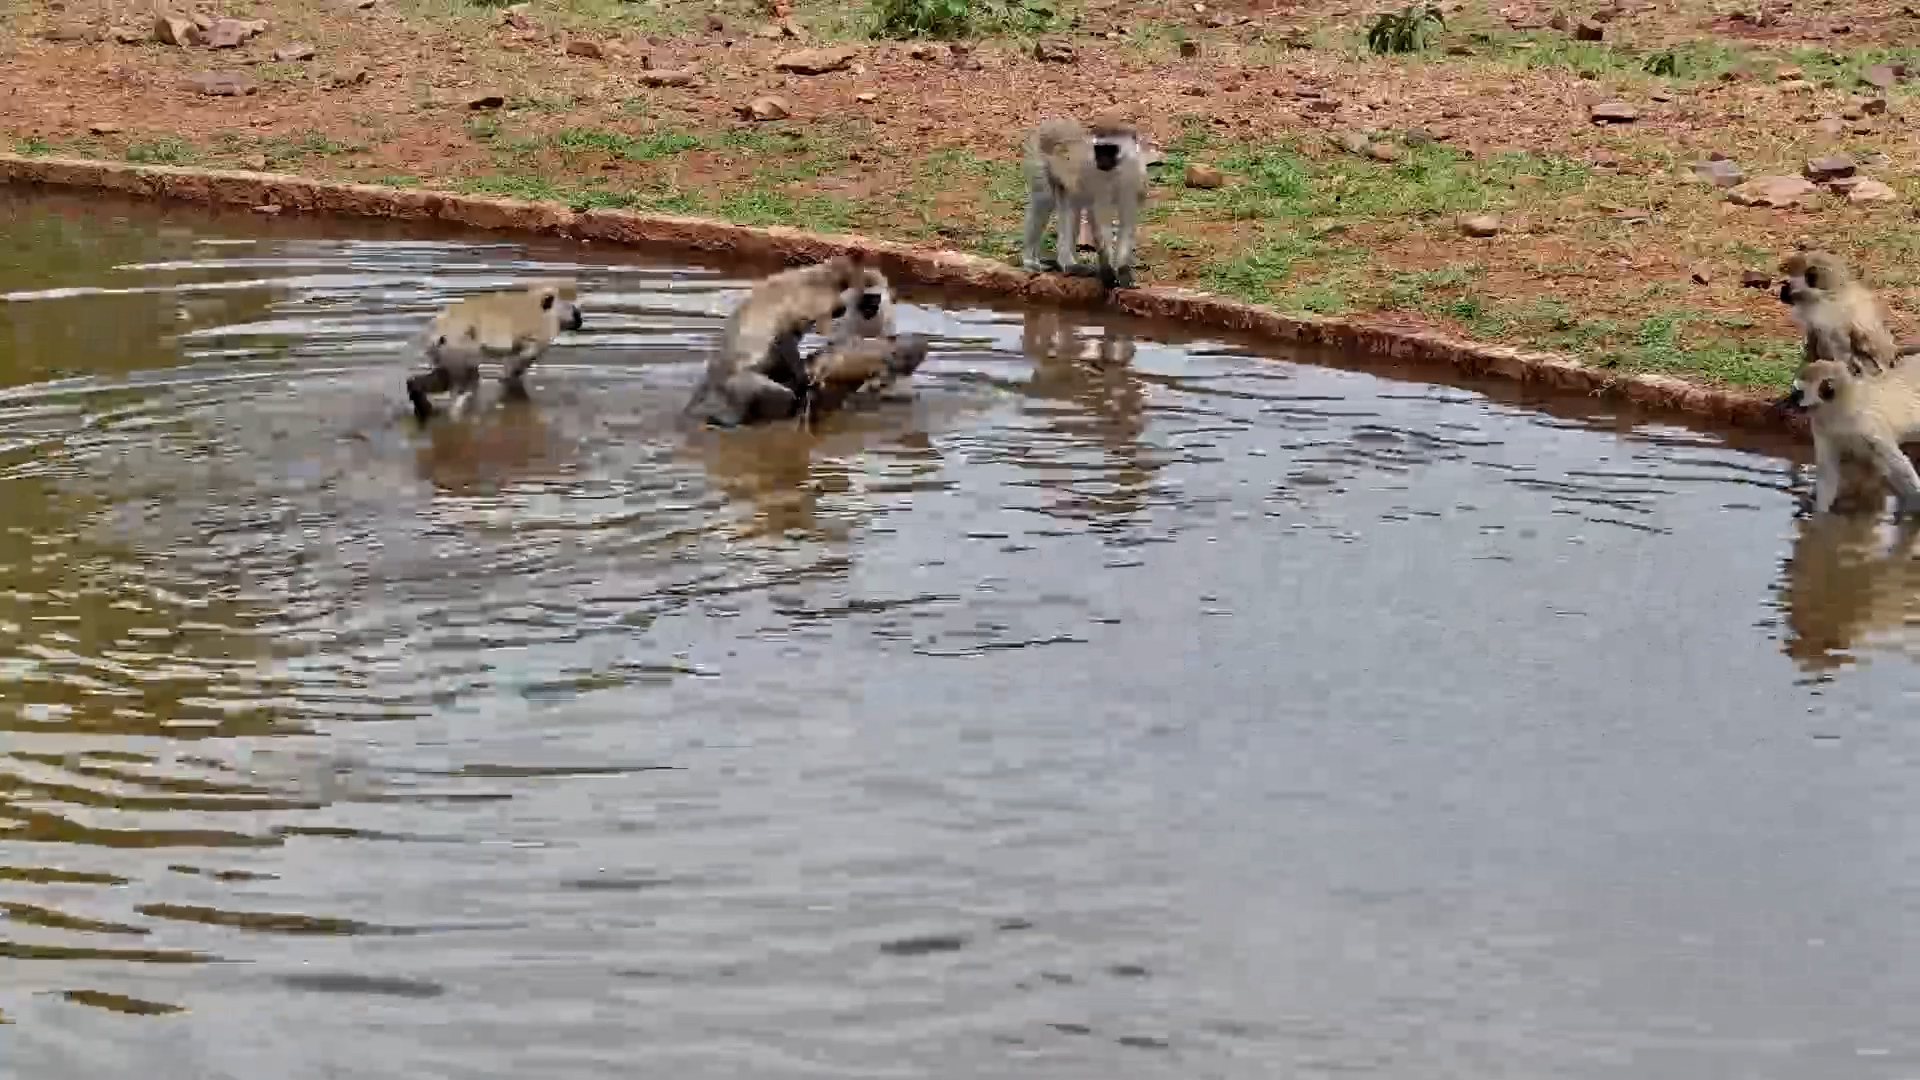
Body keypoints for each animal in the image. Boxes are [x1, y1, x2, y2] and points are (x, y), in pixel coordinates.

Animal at [406, 278, 583, 422]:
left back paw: (419, 395)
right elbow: (520, 361)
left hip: (443, 349)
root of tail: (435, 331)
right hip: (458, 345)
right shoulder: (544, 330)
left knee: (446, 377)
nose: (579, 319)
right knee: (465, 377)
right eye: (575, 312)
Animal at [684, 254, 873, 428]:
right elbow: (785, 340)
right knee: (776, 395)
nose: (841, 309)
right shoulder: (807, 306)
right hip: (743, 385)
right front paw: (803, 377)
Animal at [1020, 116, 1148, 291]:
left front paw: (1123, 271)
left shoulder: (1133, 178)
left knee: (1071, 205)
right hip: (1038, 157)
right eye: (1099, 150)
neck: (1118, 170)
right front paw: (1107, 269)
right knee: (1044, 201)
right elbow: (1099, 219)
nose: (1101, 161)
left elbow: (1126, 221)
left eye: (1110, 150)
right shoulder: (1097, 180)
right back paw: (1052, 263)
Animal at [1775, 357, 1920, 516]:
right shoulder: (1821, 426)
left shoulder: (1868, 425)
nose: (1788, 403)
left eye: (1797, 394)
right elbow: (1828, 471)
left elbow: (1898, 465)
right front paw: (1819, 516)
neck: (1838, 413)